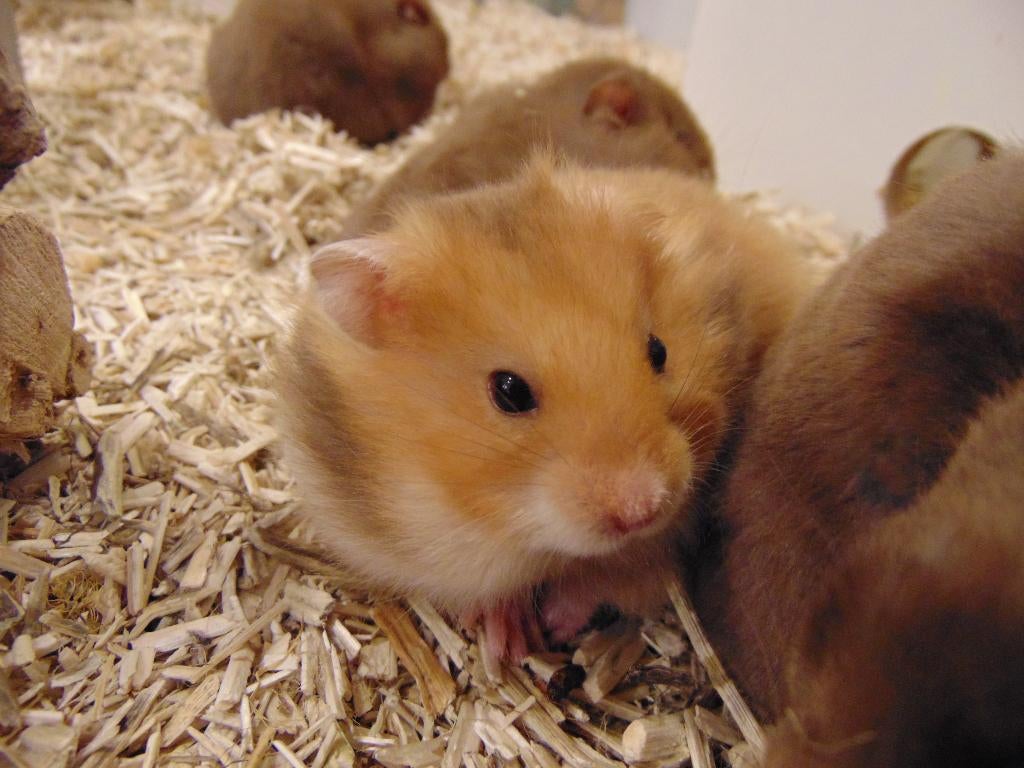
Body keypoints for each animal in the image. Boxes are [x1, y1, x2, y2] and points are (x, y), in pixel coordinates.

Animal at [279, 156, 808, 663]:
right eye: (509, 391)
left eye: (658, 351)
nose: (640, 510)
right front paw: (507, 642)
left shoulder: (668, 534)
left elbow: (611, 578)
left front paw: (553, 622)